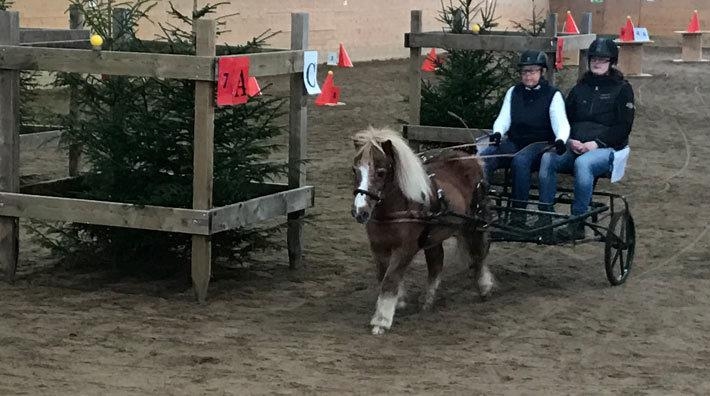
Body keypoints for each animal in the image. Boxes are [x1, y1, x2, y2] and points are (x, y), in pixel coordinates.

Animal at [350, 127, 496, 334]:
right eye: (355, 170)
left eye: (380, 172)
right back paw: (427, 300)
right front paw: (400, 301)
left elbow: (390, 279)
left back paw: (484, 287)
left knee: (478, 254)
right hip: (434, 236)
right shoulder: (378, 247)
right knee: (436, 264)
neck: (396, 209)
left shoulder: (406, 249)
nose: (360, 212)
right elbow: (384, 275)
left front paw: (381, 321)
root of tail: (471, 158)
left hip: (474, 223)